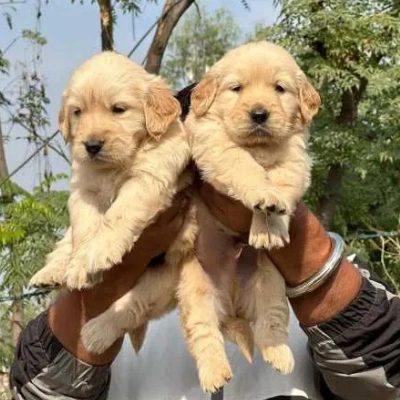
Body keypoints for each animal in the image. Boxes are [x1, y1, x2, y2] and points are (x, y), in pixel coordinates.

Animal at [30, 52, 191, 290]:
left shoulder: (147, 178)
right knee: (64, 245)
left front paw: (100, 251)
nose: (92, 145)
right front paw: (79, 268)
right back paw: (49, 273)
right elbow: (84, 229)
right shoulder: (84, 191)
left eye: (118, 109)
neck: (112, 167)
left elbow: (118, 214)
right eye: (77, 112)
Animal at [178, 40, 322, 390]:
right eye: (237, 88)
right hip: (195, 292)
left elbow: (283, 182)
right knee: (204, 335)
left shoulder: (295, 157)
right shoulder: (214, 146)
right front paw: (263, 195)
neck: (260, 147)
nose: (259, 114)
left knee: (272, 320)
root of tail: (232, 307)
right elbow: (245, 167)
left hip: (270, 282)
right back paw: (215, 373)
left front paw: (272, 225)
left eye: (279, 88)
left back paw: (279, 354)